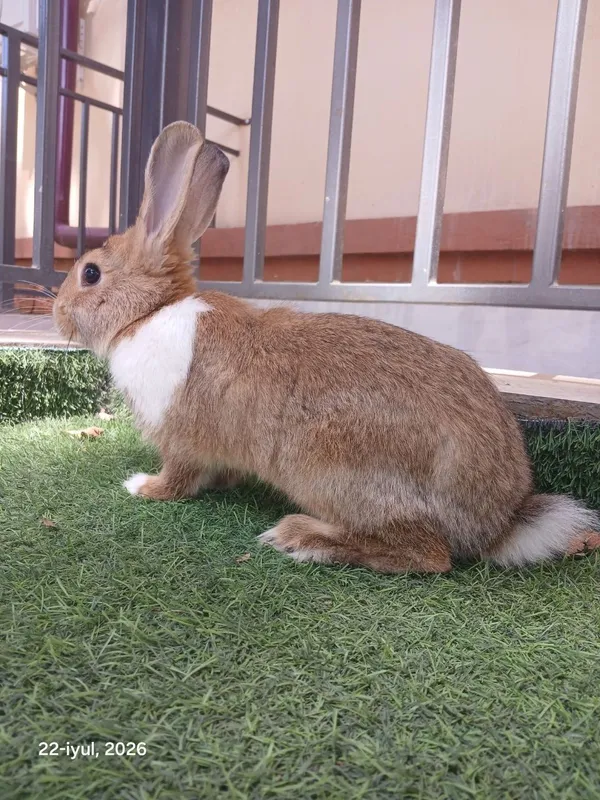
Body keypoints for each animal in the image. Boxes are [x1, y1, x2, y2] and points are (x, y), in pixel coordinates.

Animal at [53, 121, 600, 573]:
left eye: (90, 273)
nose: (56, 313)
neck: (147, 314)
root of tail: (498, 520)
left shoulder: (180, 438)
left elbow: (178, 478)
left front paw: (141, 487)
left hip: (327, 469)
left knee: (428, 555)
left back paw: (302, 538)